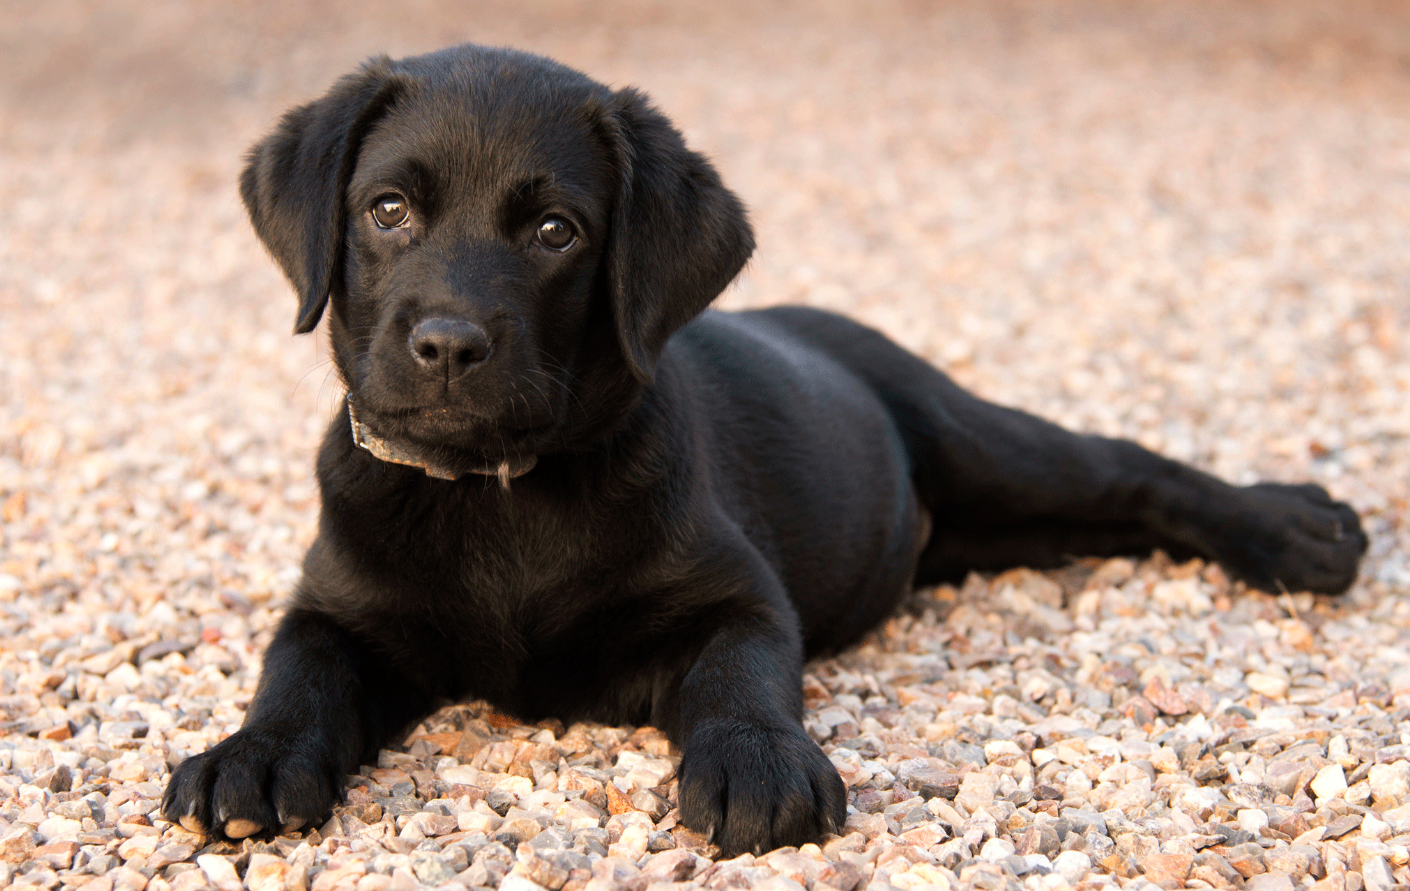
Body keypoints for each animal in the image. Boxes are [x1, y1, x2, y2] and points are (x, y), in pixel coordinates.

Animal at [162, 43, 1364, 857]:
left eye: (556, 232)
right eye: (388, 210)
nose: (449, 345)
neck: (497, 493)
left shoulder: (737, 592)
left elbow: (739, 674)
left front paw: (755, 762)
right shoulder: (337, 607)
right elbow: (296, 672)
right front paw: (253, 756)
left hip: (977, 440)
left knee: (1127, 470)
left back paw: (1297, 527)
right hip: (995, 529)